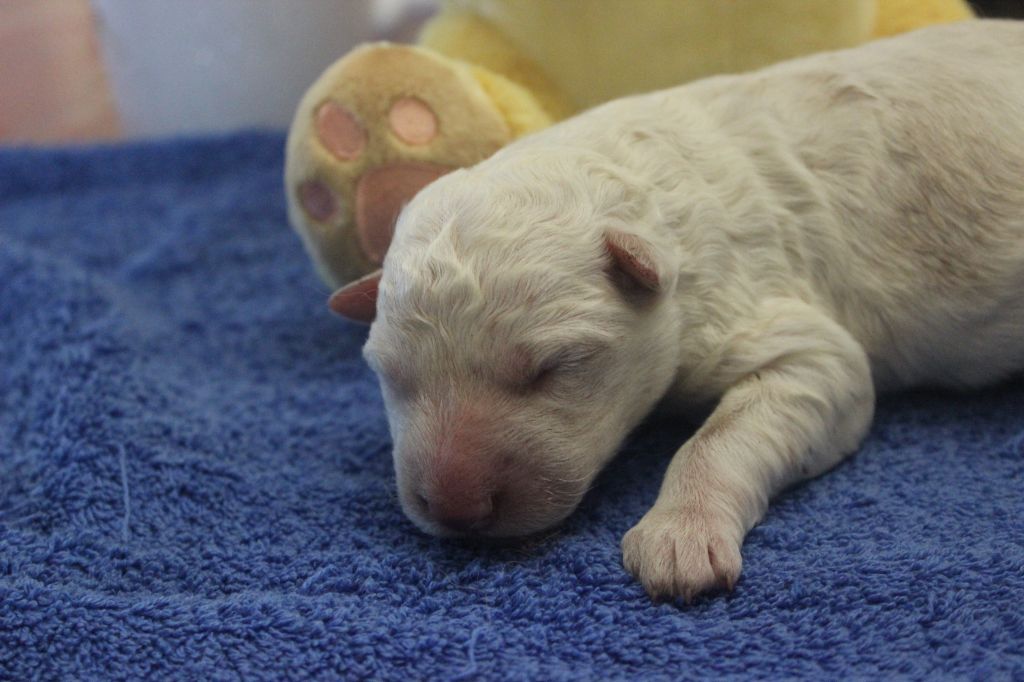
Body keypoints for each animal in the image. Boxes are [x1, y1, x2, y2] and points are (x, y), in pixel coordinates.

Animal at [327, 20, 1024, 601]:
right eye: (390, 376)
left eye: (552, 370)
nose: (455, 510)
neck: (649, 194)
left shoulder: (797, 340)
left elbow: (721, 436)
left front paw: (679, 538)